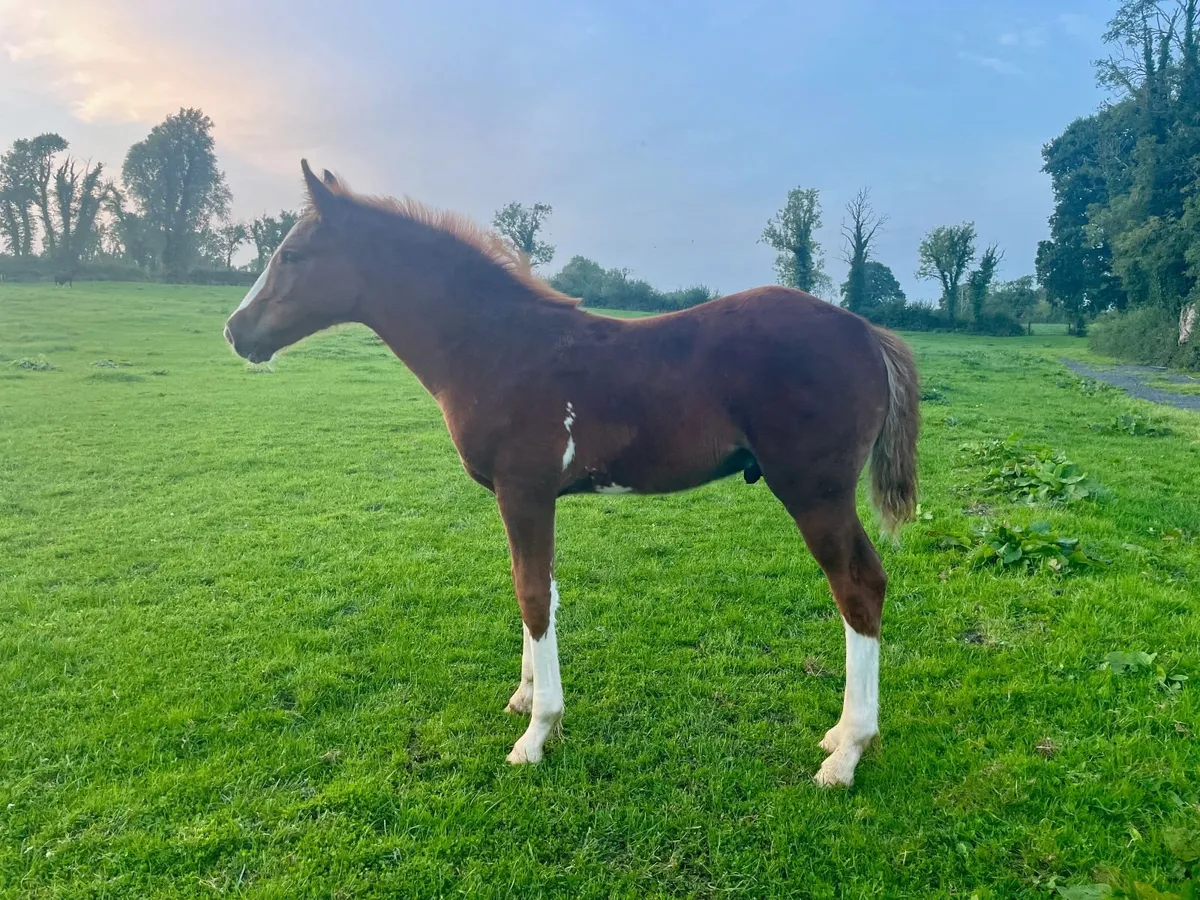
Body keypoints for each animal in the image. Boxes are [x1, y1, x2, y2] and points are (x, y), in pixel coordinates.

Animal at [224, 160, 920, 787]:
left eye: (291, 255)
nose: (235, 331)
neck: (495, 346)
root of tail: (867, 332)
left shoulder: (523, 490)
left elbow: (532, 595)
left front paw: (537, 733)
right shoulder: (532, 497)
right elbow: (541, 589)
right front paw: (524, 699)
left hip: (815, 492)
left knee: (859, 588)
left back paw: (847, 753)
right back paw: (840, 735)